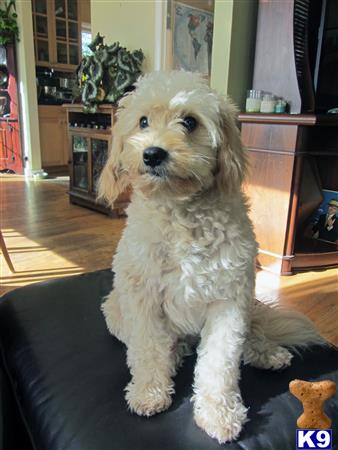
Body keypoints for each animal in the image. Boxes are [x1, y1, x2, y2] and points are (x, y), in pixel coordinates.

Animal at [97, 71, 322, 442]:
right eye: (143, 121)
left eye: (189, 122)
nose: (153, 154)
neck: (181, 212)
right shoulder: (143, 298)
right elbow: (148, 350)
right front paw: (148, 392)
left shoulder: (229, 301)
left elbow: (221, 362)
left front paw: (219, 412)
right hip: (115, 308)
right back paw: (175, 353)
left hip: (248, 304)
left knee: (249, 336)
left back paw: (265, 352)